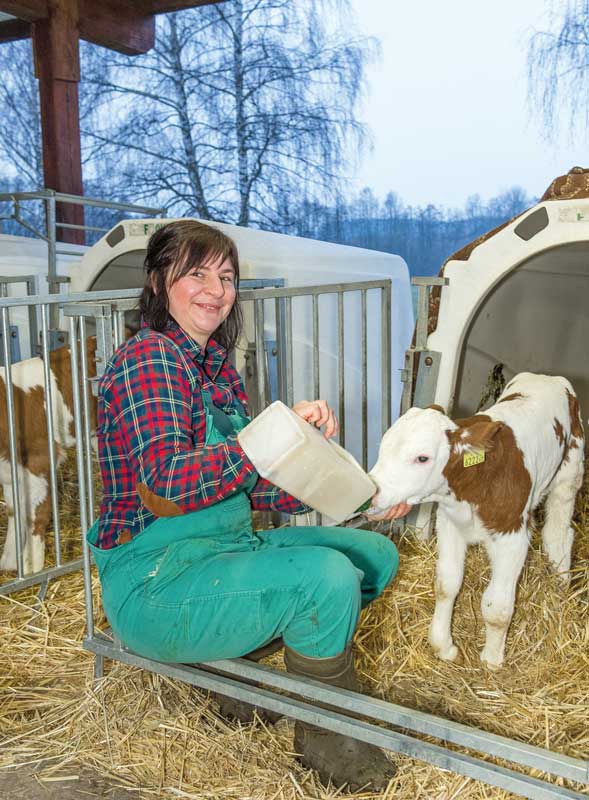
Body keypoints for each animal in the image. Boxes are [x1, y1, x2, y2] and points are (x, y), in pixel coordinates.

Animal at [0, 340, 95, 580]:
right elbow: (15, 510)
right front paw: (10, 562)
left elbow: (35, 515)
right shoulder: (9, 471)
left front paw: (32, 566)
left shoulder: (39, 458)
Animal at [370, 376, 580, 668]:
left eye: (422, 458)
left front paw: (491, 660)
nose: (371, 493)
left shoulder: (512, 538)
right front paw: (444, 646)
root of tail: (548, 377)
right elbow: (447, 585)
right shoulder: (449, 524)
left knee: (559, 532)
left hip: (570, 470)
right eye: (384, 446)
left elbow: (497, 608)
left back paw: (560, 584)